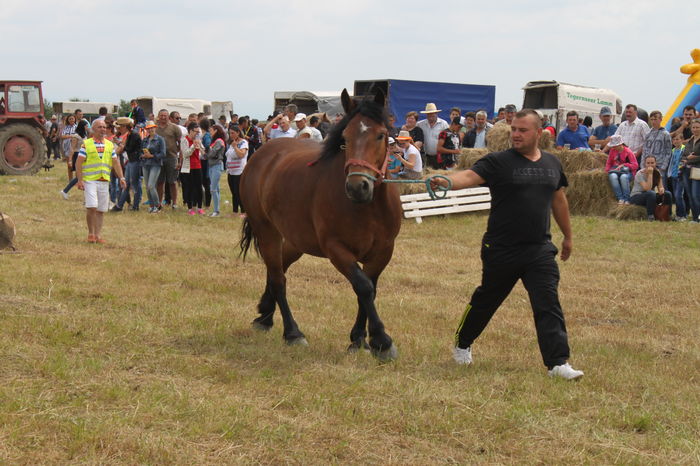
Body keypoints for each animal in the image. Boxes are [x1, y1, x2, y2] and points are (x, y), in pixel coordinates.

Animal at [239, 88, 402, 361]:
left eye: (381, 135)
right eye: (345, 137)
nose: (357, 187)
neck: (367, 208)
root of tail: (263, 153)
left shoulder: (382, 251)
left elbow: (370, 289)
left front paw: (360, 339)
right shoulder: (336, 249)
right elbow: (364, 287)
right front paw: (382, 340)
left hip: (296, 241)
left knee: (277, 270)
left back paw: (265, 315)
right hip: (267, 231)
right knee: (278, 279)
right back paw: (293, 333)